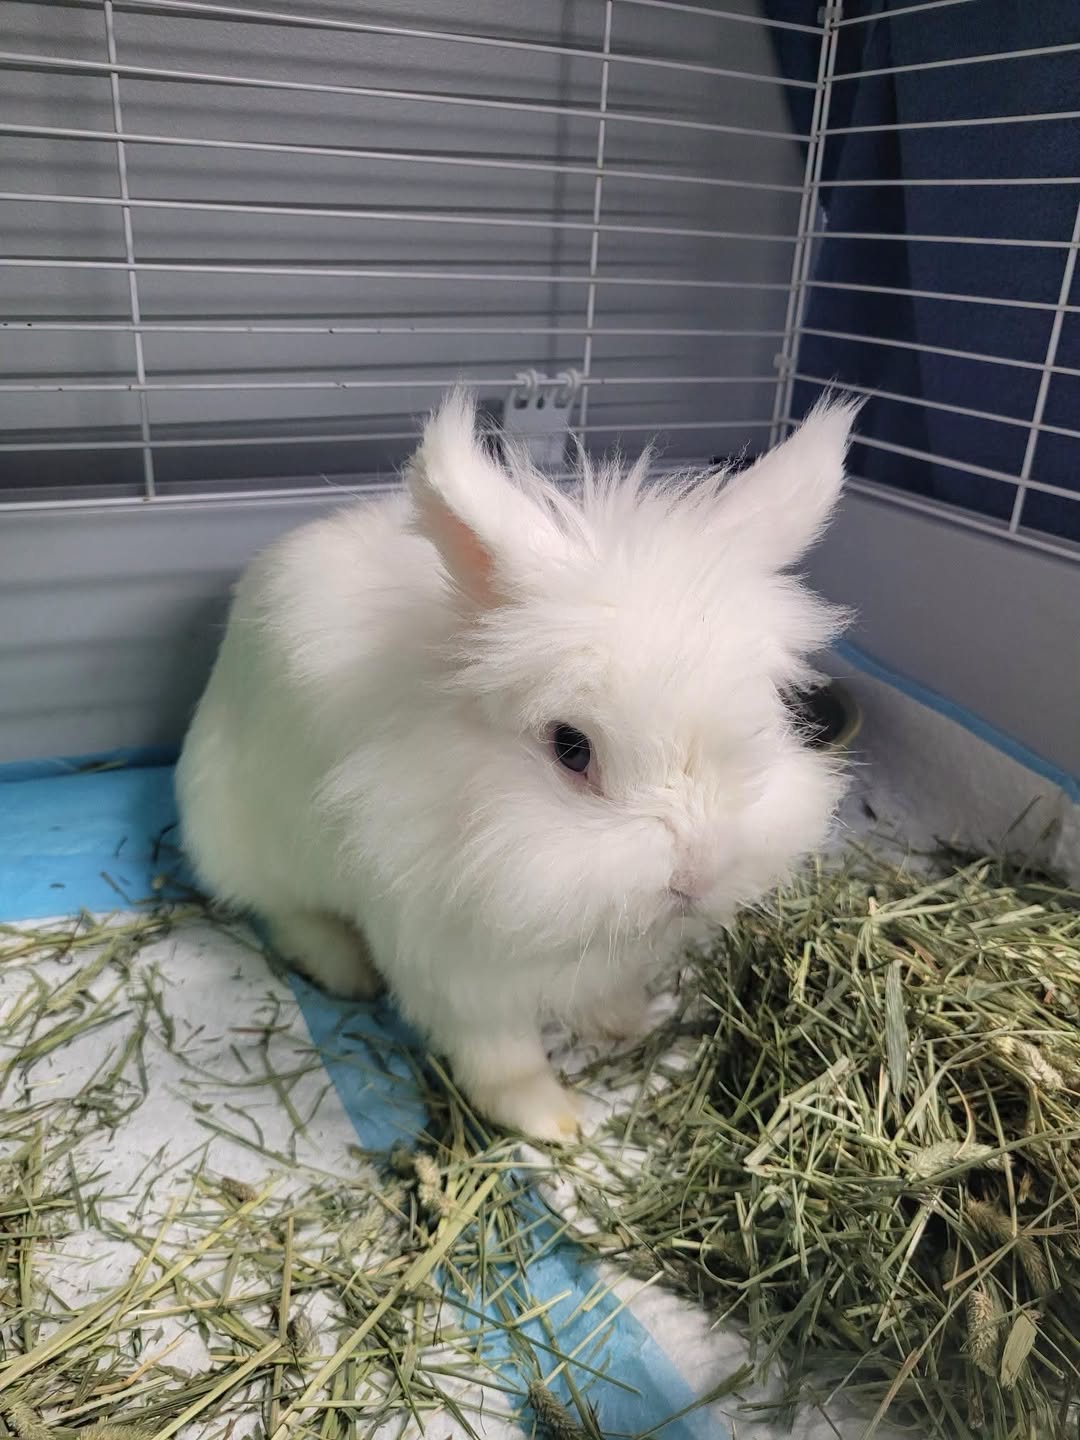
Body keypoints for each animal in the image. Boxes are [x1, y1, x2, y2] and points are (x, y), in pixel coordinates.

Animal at [176, 389, 857, 1141]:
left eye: (767, 716)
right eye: (571, 748)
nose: (699, 875)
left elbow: (604, 992)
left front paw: (625, 1022)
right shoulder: (455, 971)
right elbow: (502, 1060)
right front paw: (557, 1122)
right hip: (248, 836)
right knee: (280, 910)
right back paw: (344, 968)